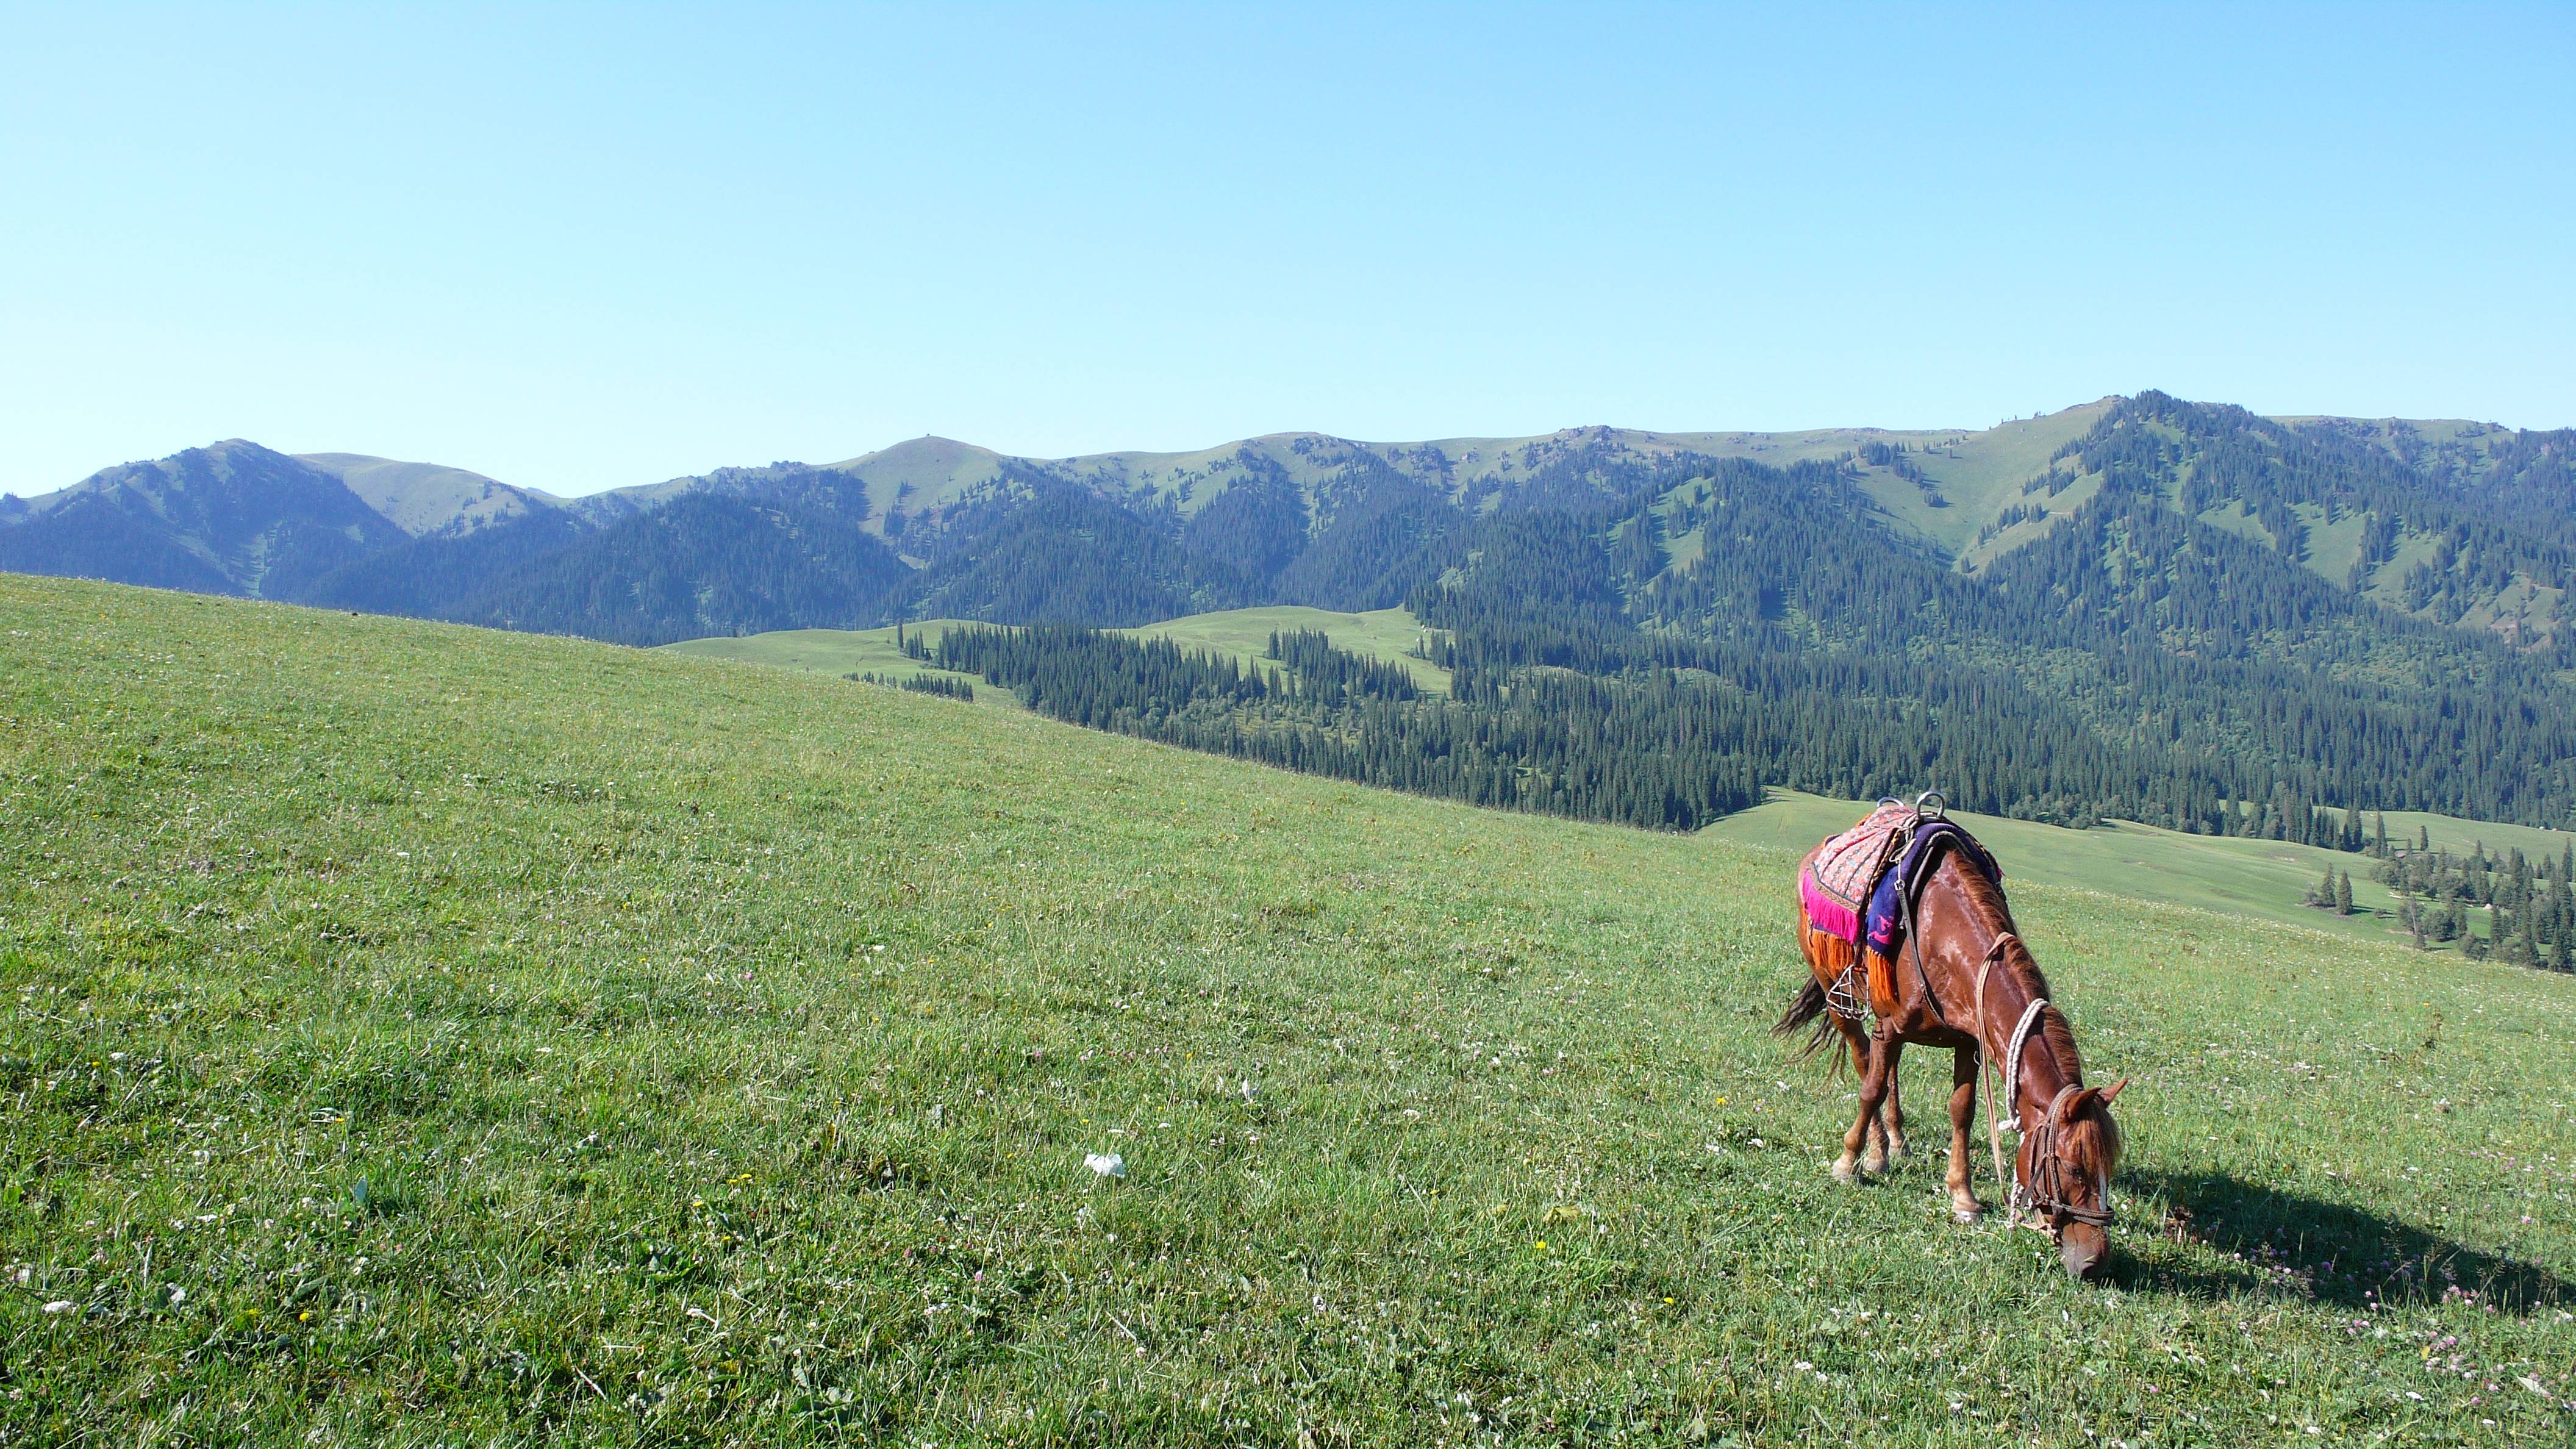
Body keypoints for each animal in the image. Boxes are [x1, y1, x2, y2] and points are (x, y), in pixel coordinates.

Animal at [1772, 825, 2133, 1273]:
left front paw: (1964, 1197)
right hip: (1836, 994)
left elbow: (1962, 1111)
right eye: (2073, 1168)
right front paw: (1847, 1163)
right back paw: (1876, 1150)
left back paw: (1896, 1142)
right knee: (1864, 1061)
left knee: (1889, 1074)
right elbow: (1870, 1090)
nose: (2096, 1262)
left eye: (2109, 1169)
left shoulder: (1967, 1041)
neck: (1943, 936)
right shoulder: (1889, 1027)